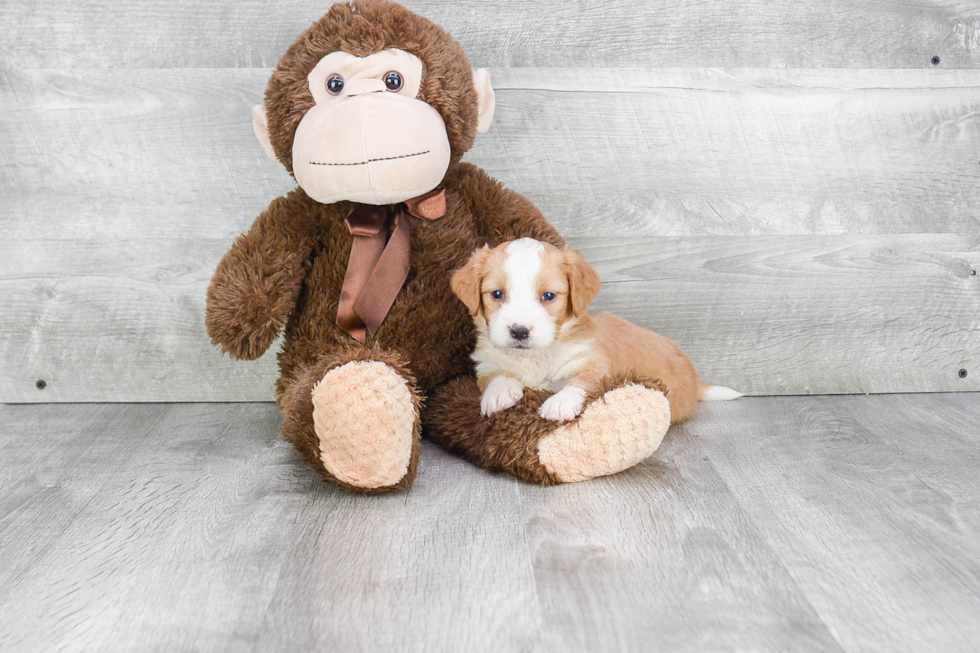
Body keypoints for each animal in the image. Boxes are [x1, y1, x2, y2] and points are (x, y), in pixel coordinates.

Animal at [448, 237, 740, 420]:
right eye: (497, 294)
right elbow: (497, 374)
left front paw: (560, 403)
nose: (519, 332)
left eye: (549, 296)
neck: (536, 356)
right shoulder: (486, 362)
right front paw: (498, 394)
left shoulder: (596, 362)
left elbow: (581, 380)